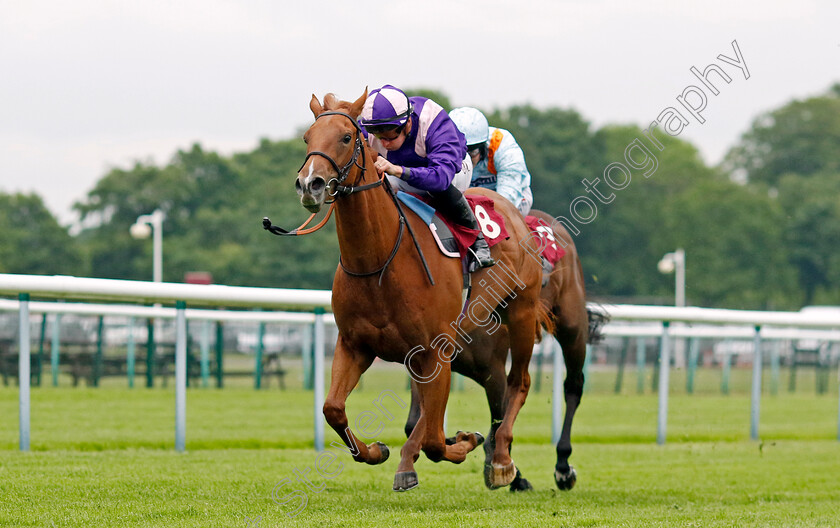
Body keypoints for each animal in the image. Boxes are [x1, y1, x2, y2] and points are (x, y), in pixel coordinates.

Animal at [296, 91, 552, 490]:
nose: (310, 184)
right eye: (308, 137)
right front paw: (376, 451)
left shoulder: (436, 349)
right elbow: (333, 409)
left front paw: (465, 443)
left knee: (519, 382)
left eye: (346, 137)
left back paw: (501, 461)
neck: (380, 260)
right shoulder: (355, 345)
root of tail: (511, 210)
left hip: (520, 312)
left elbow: (434, 439)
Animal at [404, 209, 600, 490]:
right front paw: (458, 440)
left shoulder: (493, 370)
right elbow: (414, 424)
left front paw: (510, 474)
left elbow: (498, 423)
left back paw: (563, 466)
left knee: (573, 386)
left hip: (572, 328)